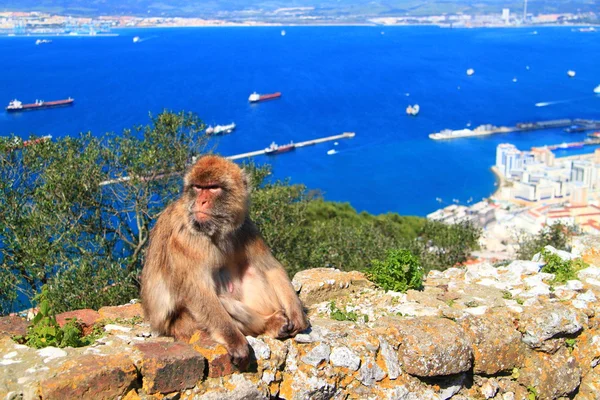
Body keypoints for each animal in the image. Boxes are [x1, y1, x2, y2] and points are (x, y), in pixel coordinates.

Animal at [141, 155, 310, 368]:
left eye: (213, 188)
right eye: (198, 187)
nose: (201, 201)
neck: (216, 229)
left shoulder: (246, 226)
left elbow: (270, 268)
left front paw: (297, 314)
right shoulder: (185, 237)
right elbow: (197, 291)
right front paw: (235, 340)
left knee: (254, 270)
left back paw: (272, 323)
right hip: (184, 325)